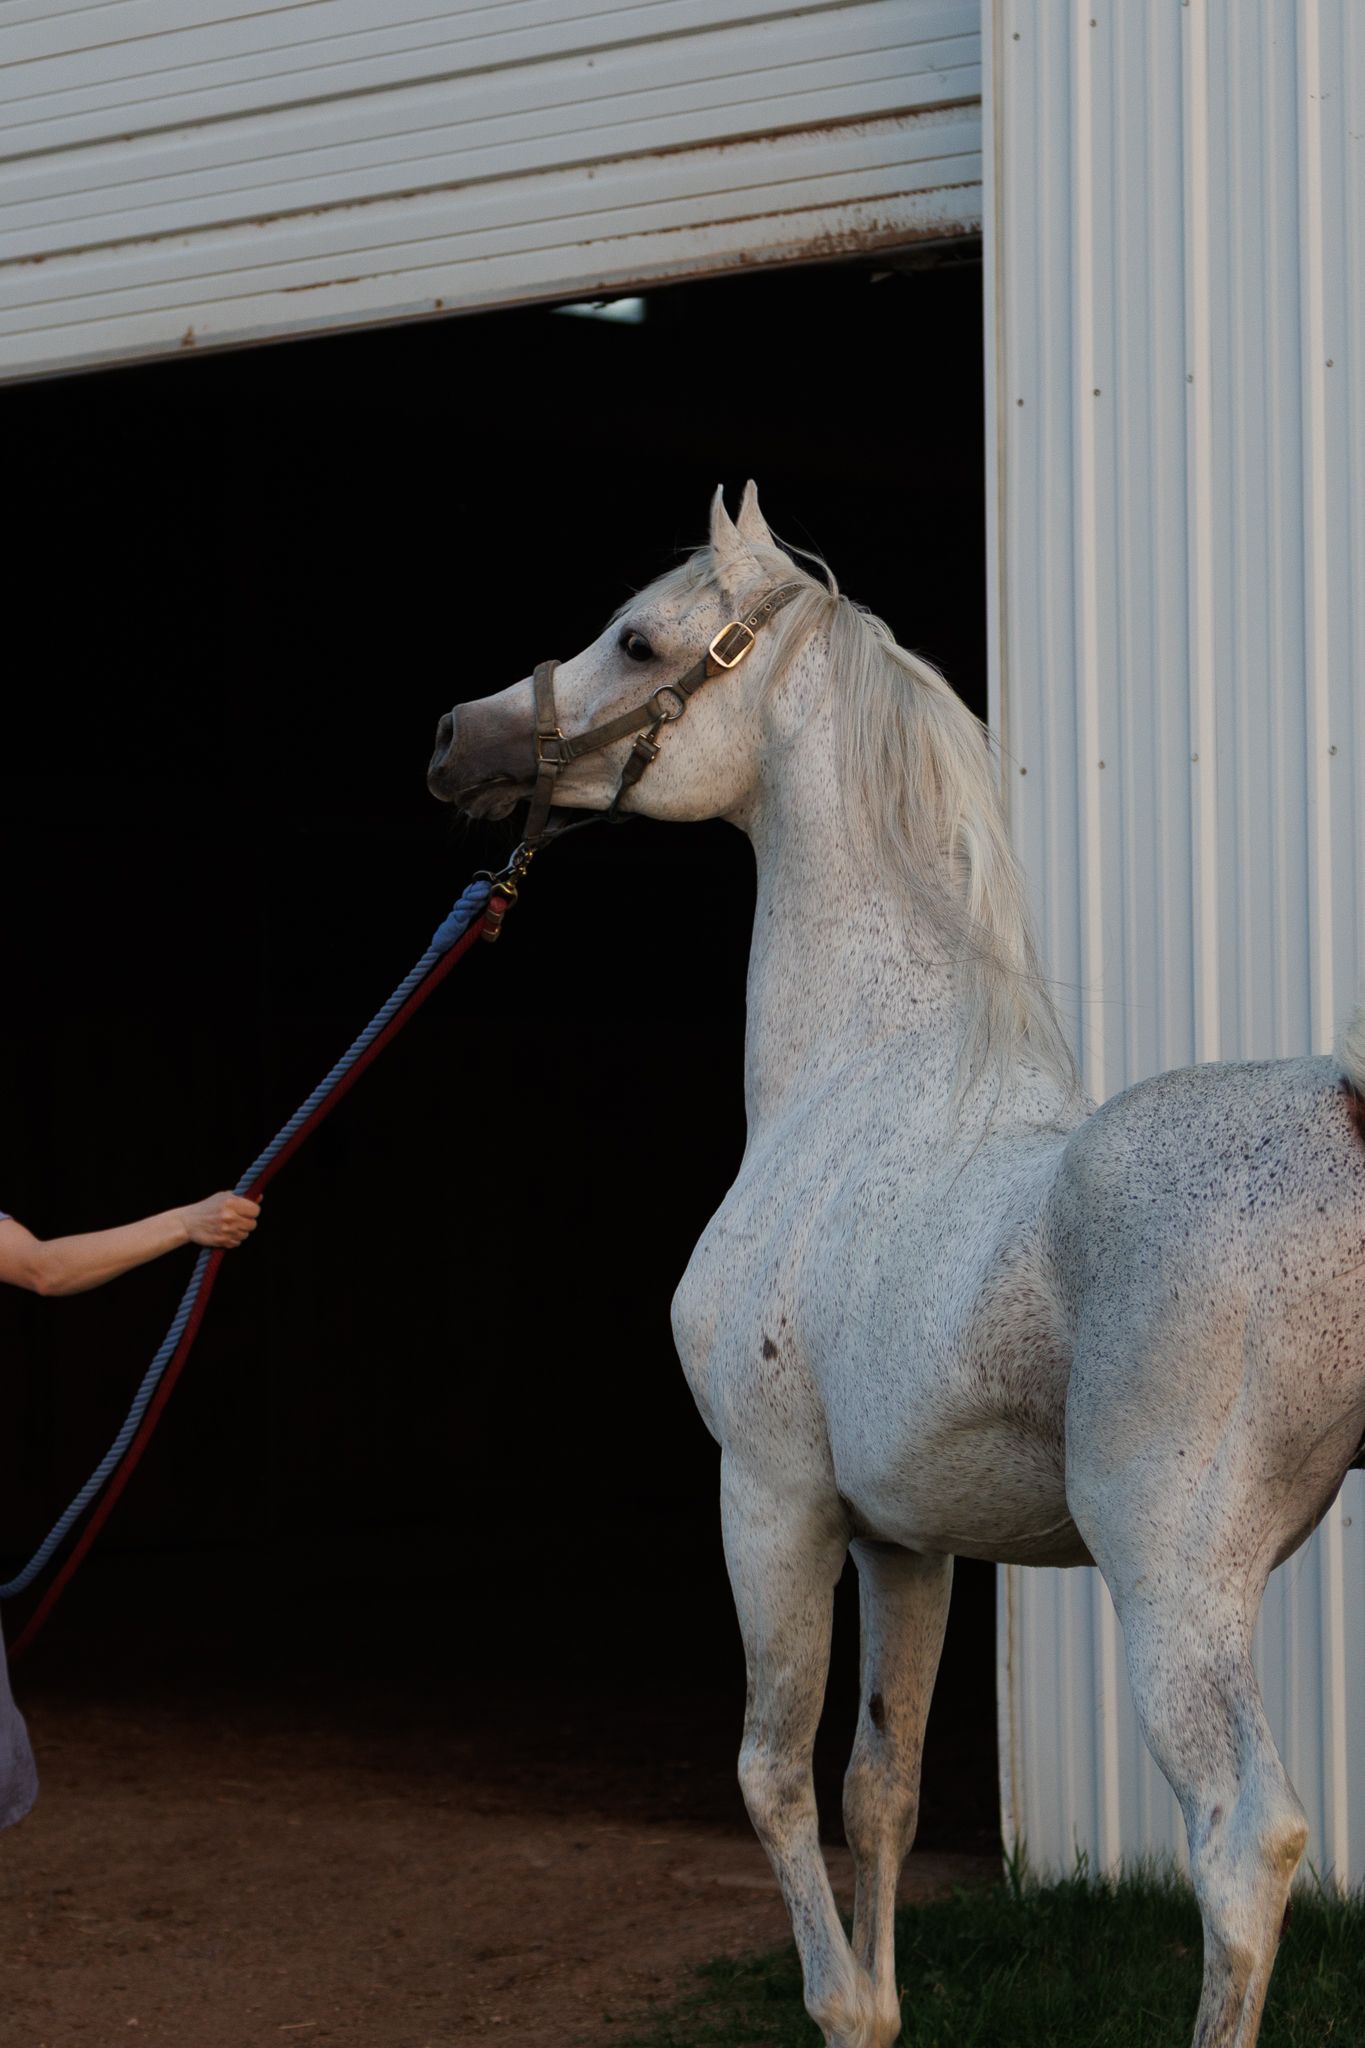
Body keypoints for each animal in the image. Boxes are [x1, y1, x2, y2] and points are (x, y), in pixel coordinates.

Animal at [426, 483, 1365, 2048]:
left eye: (638, 639)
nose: (458, 741)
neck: (856, 1074)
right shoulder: (905, 1539)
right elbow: (881, 1788)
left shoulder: (772, 1498)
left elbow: (771, 1772)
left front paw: (842, 2008)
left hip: (1175, 1583)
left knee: (1245, 1847)